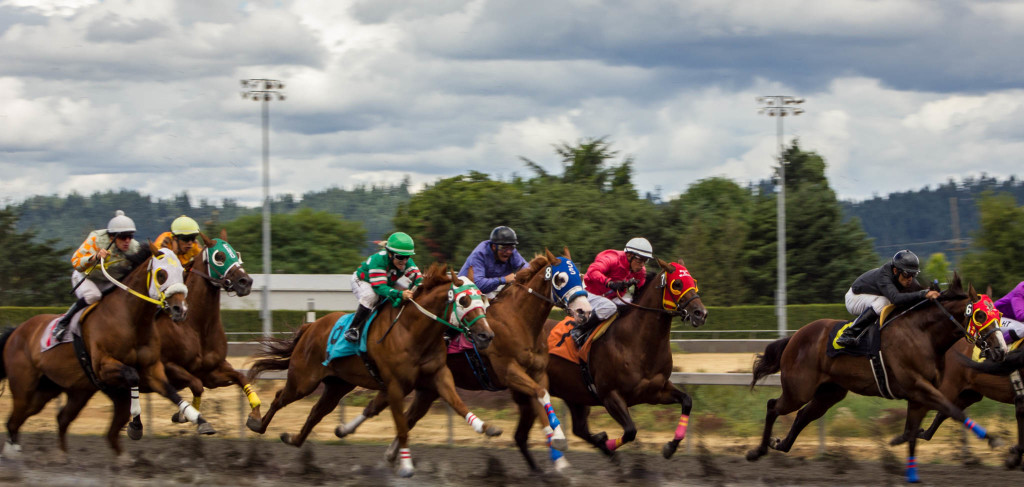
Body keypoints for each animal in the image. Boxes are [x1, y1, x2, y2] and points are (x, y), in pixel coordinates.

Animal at [0, 247, 211, 460]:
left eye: (183, 273)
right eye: (161, 274)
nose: (180, 310)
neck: (131, 319)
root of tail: (16, 331)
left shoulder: (152, 368)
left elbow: (171, 390)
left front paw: (199, 420)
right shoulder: (103, 365)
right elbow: (132, 375)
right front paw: (136, 425)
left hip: (63, 390)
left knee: (60, 419)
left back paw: (67, 456)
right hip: (24, 387)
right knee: (14, 421)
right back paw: (14, 454)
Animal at [248, 263, 503, 476]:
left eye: (482, 299)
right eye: (464, 301)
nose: (486, 335)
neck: (412, 332)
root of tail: (311, 327)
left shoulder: (438, 375)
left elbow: (458, 404)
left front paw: (486, 427)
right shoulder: (396, 386)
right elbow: (402, 426)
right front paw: (406, 466)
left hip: (337, 385)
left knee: (315, 413)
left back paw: (293, 439)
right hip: (303, 380)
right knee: (280, 398)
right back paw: (256, 423)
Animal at [335, 247, 593, 472]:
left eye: (580, 277)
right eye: (560, 278)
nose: (584, 311)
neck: (518, 320)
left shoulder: (537, 372)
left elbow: (542, 399)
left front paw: (559, 457)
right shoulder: (508, 372)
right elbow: (540, 395)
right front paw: (558, 441)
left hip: (426, 387)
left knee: (401, 415)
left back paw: (378, 448)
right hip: (410, 381)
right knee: (387, 409)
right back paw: (348, 431)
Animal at [544, 258, 704, 460]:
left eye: (694, 282)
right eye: (677, 284)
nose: (701, 313)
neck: (637, 343)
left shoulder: (656, 391)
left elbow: (687, 401)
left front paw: (671, 446)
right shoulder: (610, 395)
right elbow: (630, 431)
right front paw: (608, 444)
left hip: (573, 394)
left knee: (579, 428)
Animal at [749, 274, 1003, 482]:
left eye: (999, 314)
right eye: (980, 314)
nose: (1000, 350)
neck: (923, 334)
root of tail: (794, 337)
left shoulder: (918, 396)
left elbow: (913, 432)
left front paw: (911, 473)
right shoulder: (918, 386)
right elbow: (953, 411)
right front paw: (991, 438)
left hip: (829, 393)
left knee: (803, 415)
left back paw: (780, 444)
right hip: (799, 389)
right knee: (773, 406)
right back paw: (758, 451)